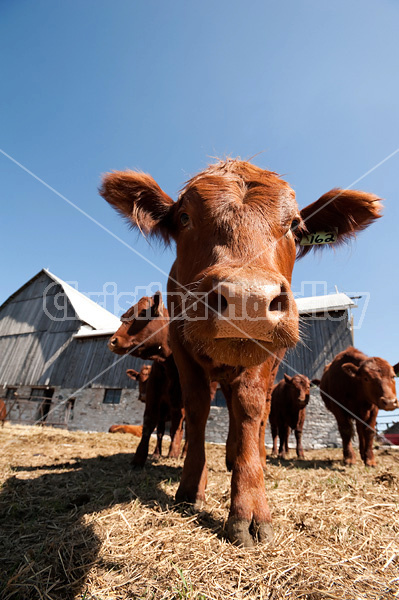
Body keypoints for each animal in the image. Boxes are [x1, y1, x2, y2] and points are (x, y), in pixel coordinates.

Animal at [108, 290, 185, 464]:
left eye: (143, 313)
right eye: (124, 316)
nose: (112, 341)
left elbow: (176, 429)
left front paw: (173, 454)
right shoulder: (154, 395)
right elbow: (151, 424)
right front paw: (141, 457)